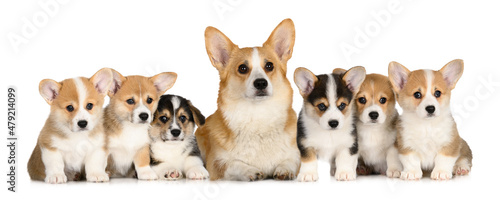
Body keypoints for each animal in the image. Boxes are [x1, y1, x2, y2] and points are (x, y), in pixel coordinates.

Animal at [195, 19, 298, 181]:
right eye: (242, 68)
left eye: (269, 65)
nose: (261, 83)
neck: (258, 115)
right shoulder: (216, 164)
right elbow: (235, 163)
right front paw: (250, 170)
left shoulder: (296, 154)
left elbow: (290, 161)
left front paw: (284, 169)